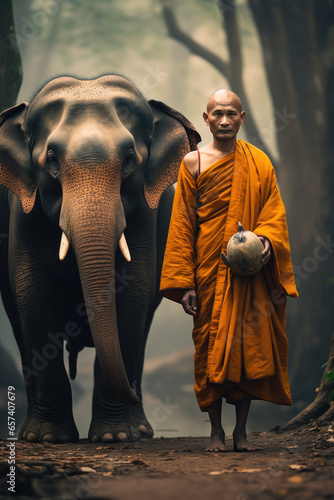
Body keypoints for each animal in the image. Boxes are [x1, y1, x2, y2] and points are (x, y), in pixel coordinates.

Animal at [0, 74, 200, 442]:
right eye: (52, 160)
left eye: (129, 159)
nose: (139, 391)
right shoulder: (23, 213)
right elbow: (34, 297)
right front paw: (48, 438)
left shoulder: (145, 214)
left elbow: (132, 297)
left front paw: (115, 437)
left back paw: (140, 428)